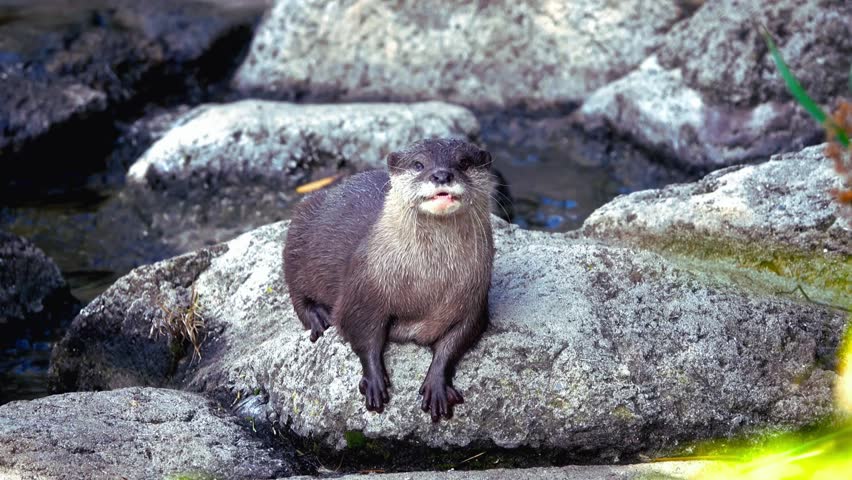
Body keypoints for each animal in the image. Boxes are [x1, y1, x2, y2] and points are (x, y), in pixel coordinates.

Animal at [283, 138, 494, 422]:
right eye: (419, 164)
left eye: (464, 162)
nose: (441, 175)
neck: (427, 284)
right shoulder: (363, 287)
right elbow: (359, 330)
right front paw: (374, 381)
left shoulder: (474, 300)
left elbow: (458, 339)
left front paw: (437, 383)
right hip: (298, 234)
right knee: (296, 290)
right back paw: (317, 317)